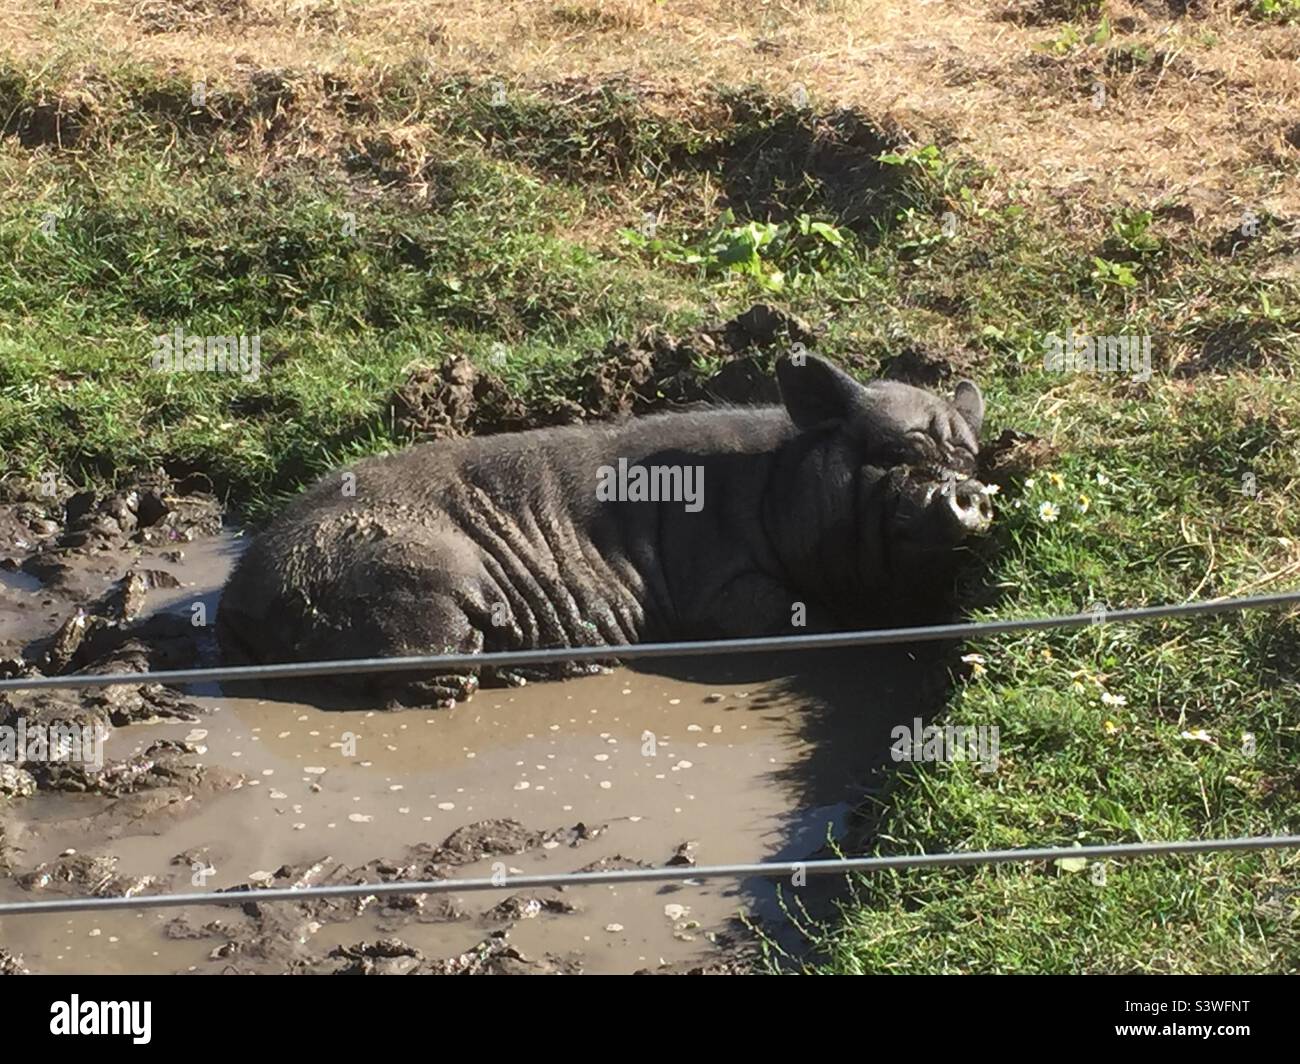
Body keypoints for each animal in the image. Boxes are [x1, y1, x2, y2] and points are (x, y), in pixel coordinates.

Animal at [217, 354, 992, 707]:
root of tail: (234, 595)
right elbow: (780, 616)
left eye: (969, 459)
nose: (966, 494)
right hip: (419, 583)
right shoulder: (721, 584)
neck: (777, 487)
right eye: (893, 453)